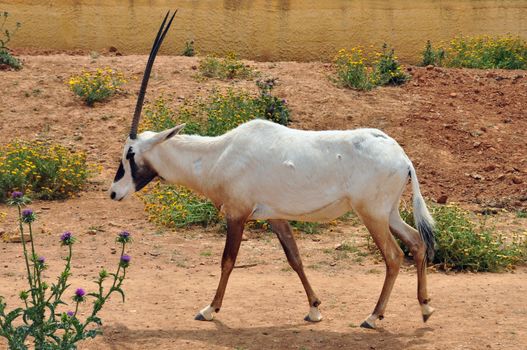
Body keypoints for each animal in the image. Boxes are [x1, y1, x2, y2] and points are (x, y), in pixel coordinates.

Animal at [110, 10, 438, 328]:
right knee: (417, 243)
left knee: (394, 255)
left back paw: (373, 317)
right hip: (388, 213)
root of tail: (402, 157)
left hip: (371, 214)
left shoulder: (237, 213)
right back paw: (425, 308)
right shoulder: (275, 217)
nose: (114, 192)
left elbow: (228, 260)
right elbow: (294, 257)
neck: (220, 153)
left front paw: (209, 309)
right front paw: (314, 309)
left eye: (130, 154)